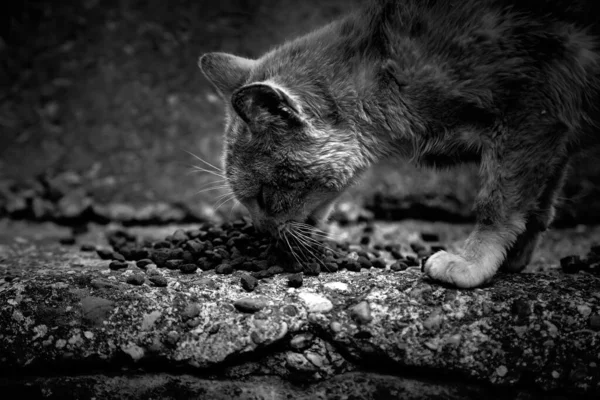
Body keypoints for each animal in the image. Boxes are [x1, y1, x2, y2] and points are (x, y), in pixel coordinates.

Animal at [198, 0, 600, 288]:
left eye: (265, 196)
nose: (261, 231)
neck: (386, 69)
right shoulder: (549, 134)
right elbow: (540, 205)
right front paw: (511, 257)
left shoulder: (532, 112)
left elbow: (497, 203)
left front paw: (471, 263)